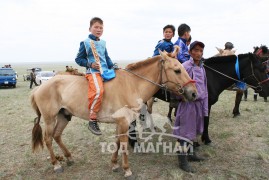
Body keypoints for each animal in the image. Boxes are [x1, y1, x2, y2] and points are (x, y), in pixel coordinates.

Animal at [30, 50, 197, 178]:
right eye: (177, 70)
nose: (194, 93)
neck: (132, 84)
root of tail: (39, 88)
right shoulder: (123, 122)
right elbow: (123, 144)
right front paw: (127, 169)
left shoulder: (121, 123)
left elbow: (117, 142)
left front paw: (114, 164)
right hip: (50, 119)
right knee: (48, 139)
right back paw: (56, 164)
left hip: (64, 116)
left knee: (57, 135)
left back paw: (69, 157)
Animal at [127, 52, 268, 147]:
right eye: (262, 68)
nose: (266, 90)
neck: (212, 76)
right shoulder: (206, 104)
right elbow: (206, 120)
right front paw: (206, 139)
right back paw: (134, 141)